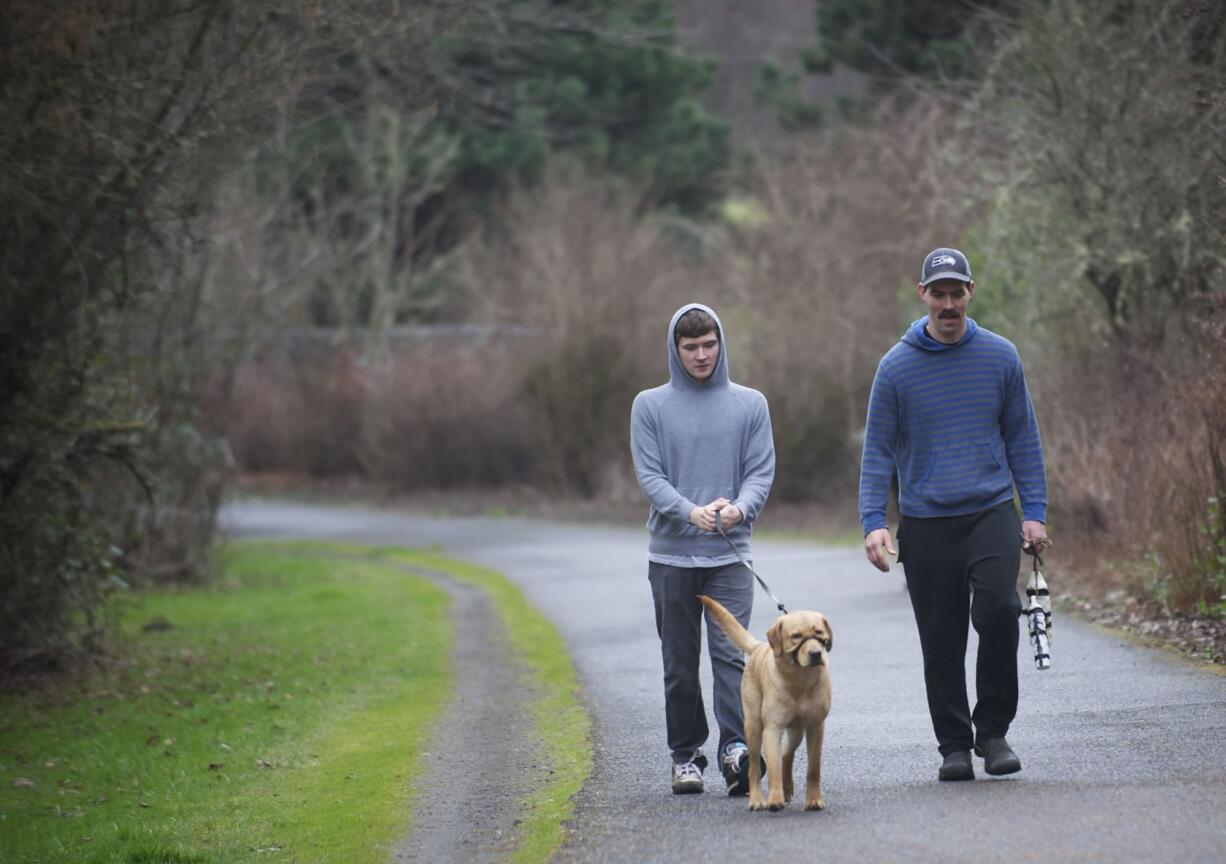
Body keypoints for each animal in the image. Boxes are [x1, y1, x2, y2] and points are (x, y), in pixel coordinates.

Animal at [701, 593, 833, 808]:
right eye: (796, 636)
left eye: (819, 633)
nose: (815, 654)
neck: (800, 681)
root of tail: (759, 646)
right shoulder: (772, 728)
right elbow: (772, 769)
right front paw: (775, 799)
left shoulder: (816, 726)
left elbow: (813, 769)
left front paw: (814, 800)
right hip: (754, 727)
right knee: (754, 767)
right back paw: (757, 799)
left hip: (797, 729)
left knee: (787, 754)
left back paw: (787, 787)